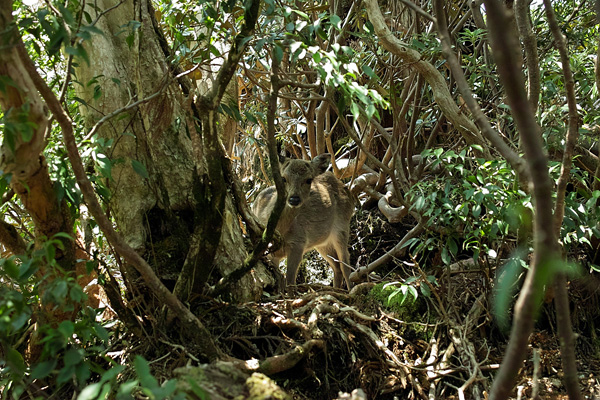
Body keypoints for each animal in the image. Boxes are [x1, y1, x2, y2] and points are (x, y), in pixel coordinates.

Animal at [253, 154, 356, 290]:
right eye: (283, 178)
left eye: (308, 180)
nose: (294, 199)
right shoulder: (270, 252)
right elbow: (280, 278)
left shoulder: (298, 242)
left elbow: (290, 281)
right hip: (322, 242)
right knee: (336, 266)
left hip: (342, 226)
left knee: (345, 264)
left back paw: (351, 290)